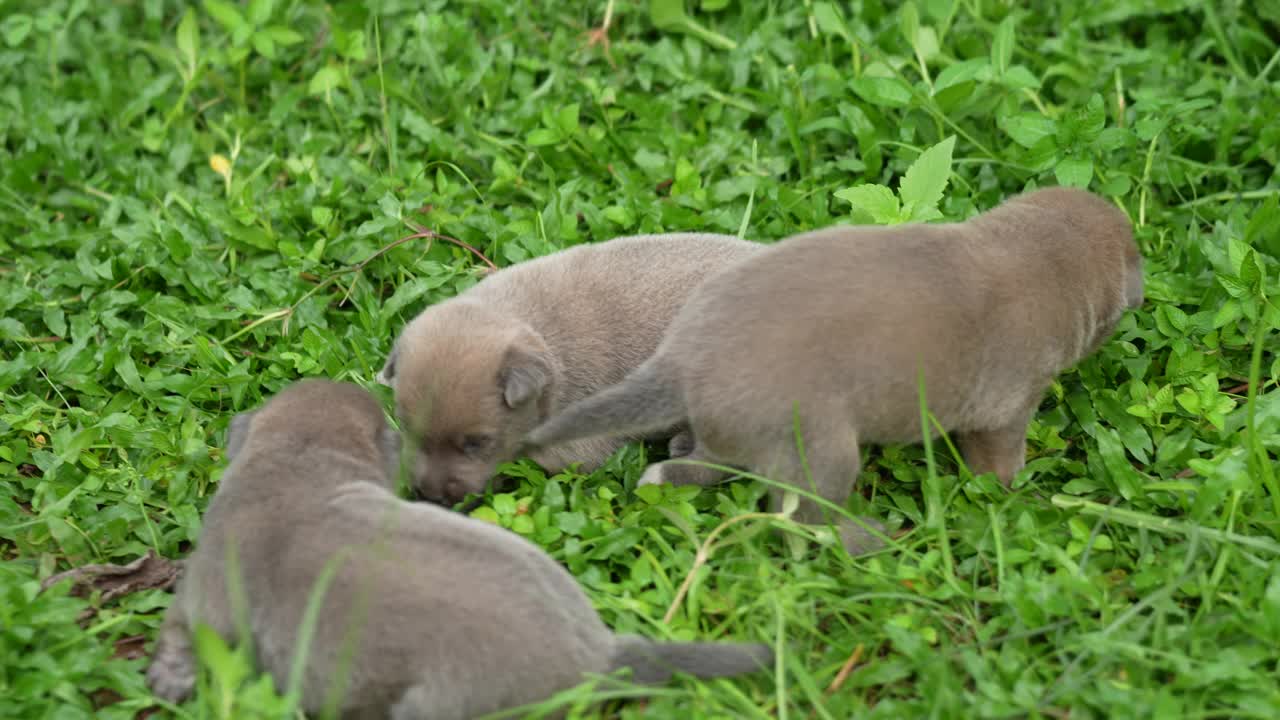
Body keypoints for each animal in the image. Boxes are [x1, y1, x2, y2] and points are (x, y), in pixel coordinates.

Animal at [524, 188, 1146, 550]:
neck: (1034, 256)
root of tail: (683, 358)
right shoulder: (1006, 404)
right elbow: (998, 461)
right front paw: (1013, 495)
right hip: (820, 446)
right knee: (801, 512)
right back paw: (874, 538)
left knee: (691, 465)